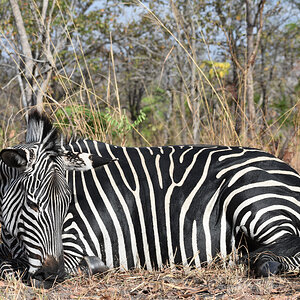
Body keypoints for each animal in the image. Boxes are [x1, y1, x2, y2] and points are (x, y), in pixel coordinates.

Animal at [0, 109, 298, 288]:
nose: (51, 275)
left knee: (284, 247)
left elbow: (13, 269)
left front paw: (93, 267)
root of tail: (285, 165)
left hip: (252, 195)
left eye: (68, 206)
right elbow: (7, 265)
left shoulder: (79, 243)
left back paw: (260, 262)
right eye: (32, 204)